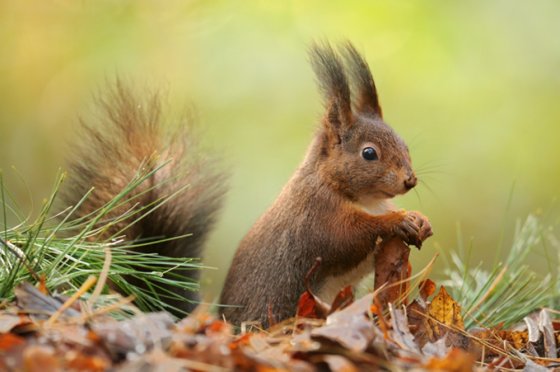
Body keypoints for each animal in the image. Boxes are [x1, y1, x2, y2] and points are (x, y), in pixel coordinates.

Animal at [61, 40, 430, 324]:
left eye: (405, 145)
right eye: (369, 153)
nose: (409, 180)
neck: (363, 197)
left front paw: (420, 221)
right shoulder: (317, 219)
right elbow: (349, 237)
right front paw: (397, 220)